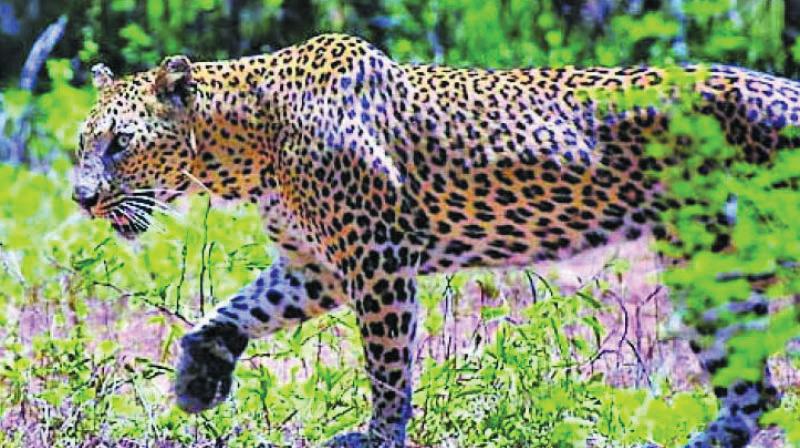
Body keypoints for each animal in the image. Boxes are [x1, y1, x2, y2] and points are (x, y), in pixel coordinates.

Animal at [73, 33, 800, 447]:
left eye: (120, 143)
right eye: (84, 142)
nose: (80, 198)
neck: (245, 146)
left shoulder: (377, 259)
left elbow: (388, 364)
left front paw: (378, 436)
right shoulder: (315, 265)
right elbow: (232, 310)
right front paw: (199, 377)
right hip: (708, 262)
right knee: (752, 393)